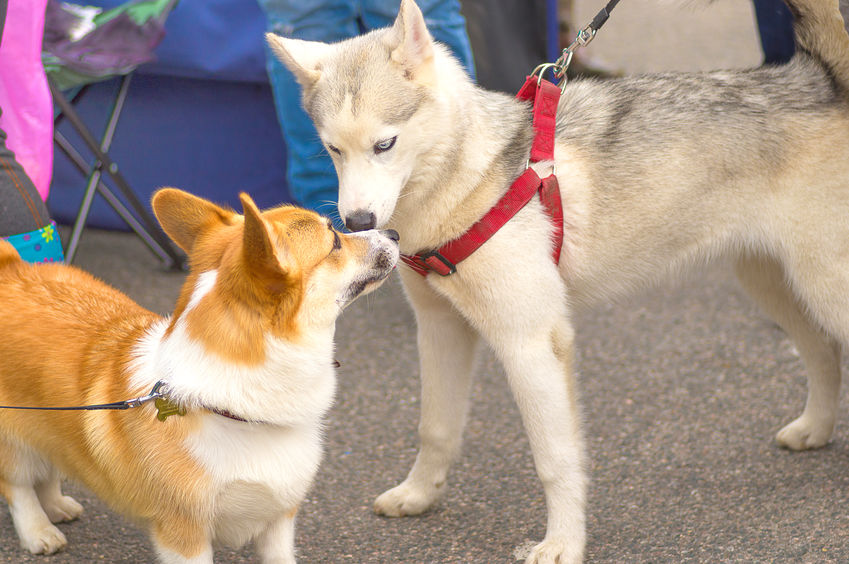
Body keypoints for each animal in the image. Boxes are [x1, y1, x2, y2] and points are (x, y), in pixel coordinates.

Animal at [0, 187, 400, 560]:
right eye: (334, 240)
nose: (395, 233)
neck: (236, 410)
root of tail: (11, 268)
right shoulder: (184, 535)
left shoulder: (278, 522)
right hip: (14, 441)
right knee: (19, 487)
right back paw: (40, 531)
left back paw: (57, 505)